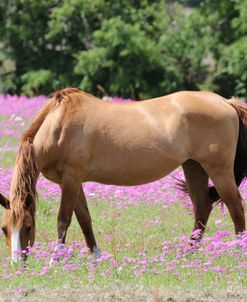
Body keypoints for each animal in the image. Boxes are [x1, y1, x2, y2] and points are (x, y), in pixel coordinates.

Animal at [0, 88, 246, 262]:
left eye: (28, 226)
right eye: (4, 228)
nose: (17, 264)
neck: (58, 126)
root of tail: (226, 102)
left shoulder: (71, 178)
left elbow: (64, 219)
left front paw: (55, 260)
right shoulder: (72, 181)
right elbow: (85, 219)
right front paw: (97, 257)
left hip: (219, 170)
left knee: (236, 208)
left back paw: (237, 253)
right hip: (194, 168)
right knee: (202, 208)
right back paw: (187, 255)